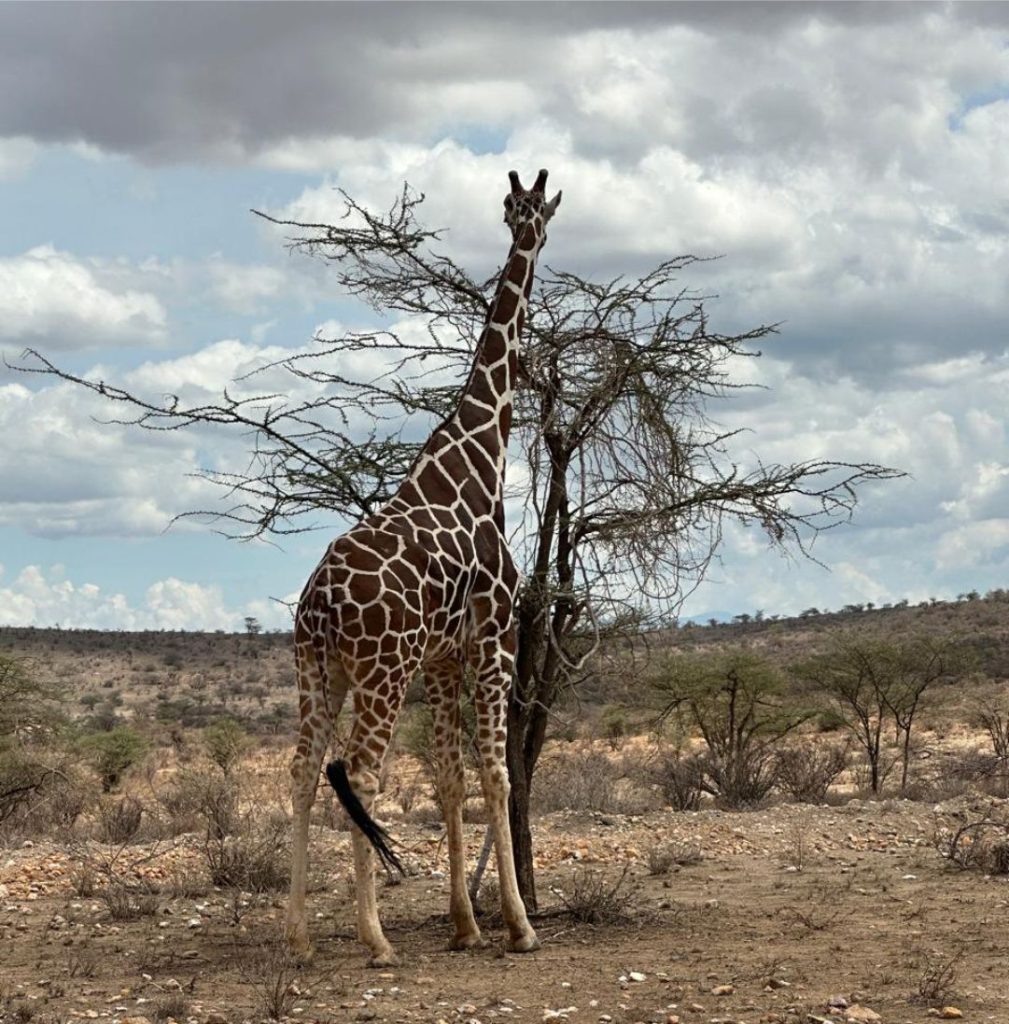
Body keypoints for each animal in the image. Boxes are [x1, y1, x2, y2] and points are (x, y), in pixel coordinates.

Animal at [282, 167, 557, 966]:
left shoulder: (442, 655)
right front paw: (518, 926)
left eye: (522, 206)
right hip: (382, 668)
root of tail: (320, 602)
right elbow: (495, 772)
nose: (527, 225)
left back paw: (300, 935)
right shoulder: (494, 636)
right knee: (361, 773)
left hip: (320, 668)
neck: (482, 454)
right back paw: (373, 938)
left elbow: (446, 775)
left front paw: (466, 924)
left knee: (303, 772)